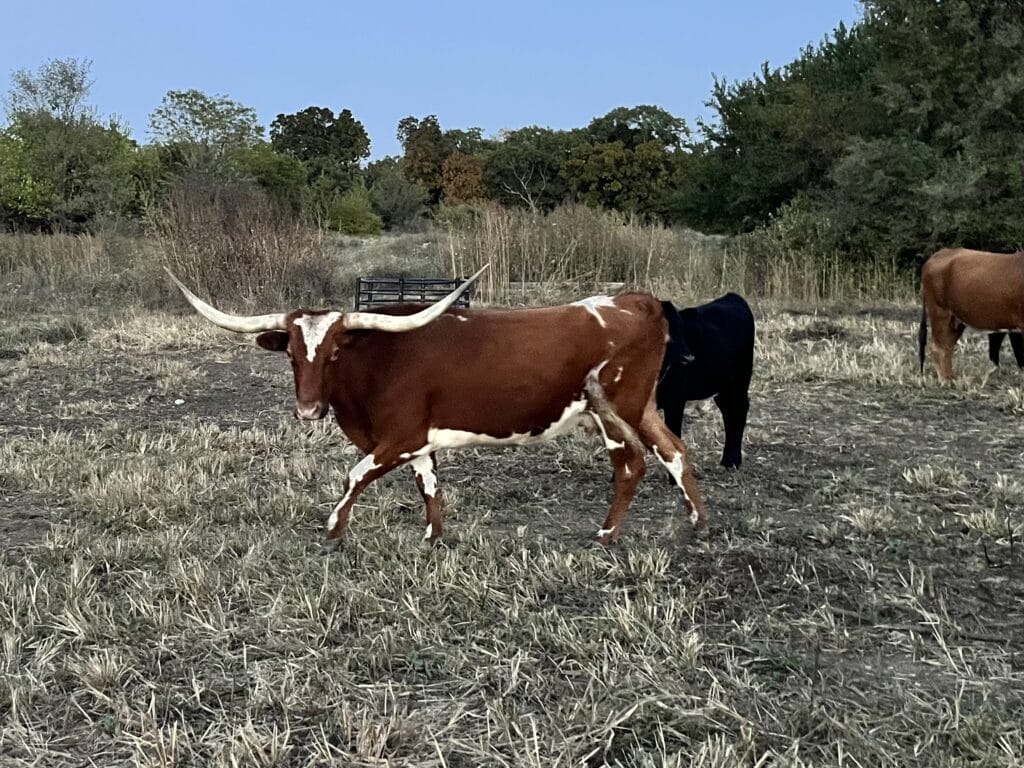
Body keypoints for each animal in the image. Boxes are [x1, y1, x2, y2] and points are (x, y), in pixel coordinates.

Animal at [164, 267, 707, 546]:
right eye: (293, 356)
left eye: (336, 351)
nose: (308, 410)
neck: (379, 357)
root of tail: (633, 301)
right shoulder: (418, 442)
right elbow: (429, 485)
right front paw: (433, 537)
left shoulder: (398, 437)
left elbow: (355, 474)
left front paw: (334, 529)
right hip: (643, 407)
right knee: (674, 450)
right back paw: (696, 522)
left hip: (612, 408)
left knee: (632, 463)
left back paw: (607, 533)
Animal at [656, 293, 755, 469]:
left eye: (681, 329)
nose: (688, 358)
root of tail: (732, 296)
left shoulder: (675, 400)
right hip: (724, 385)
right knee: (728, 410)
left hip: (741, 378)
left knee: (739, 409)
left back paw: (732, 460)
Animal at [918, 248, 1024, 380]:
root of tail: (941, 252)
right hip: (940, 312)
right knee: (938, 348)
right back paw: (946, 380)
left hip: (955, 320)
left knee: (947, 346)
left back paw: (951, 378)